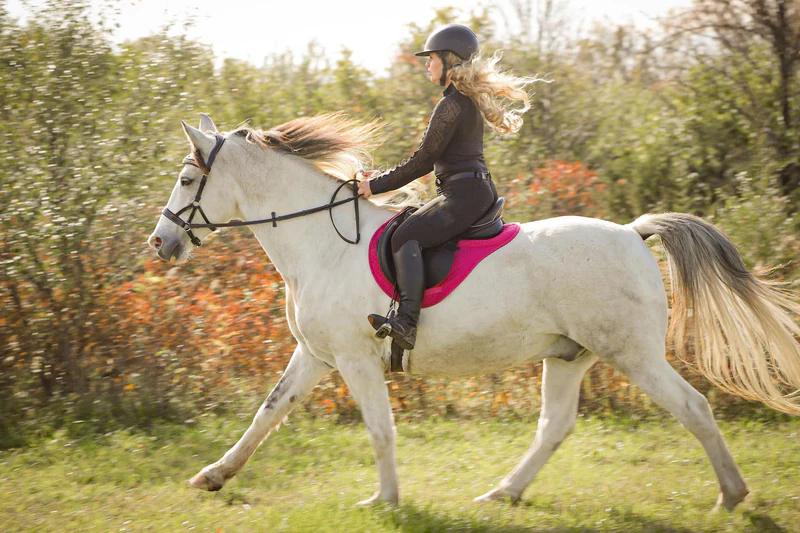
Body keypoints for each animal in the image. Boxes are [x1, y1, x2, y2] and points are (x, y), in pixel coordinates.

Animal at [148, 113, 800, 511]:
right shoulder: (316, 355)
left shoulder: (356, 359)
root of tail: (633, 233)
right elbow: (268, 413)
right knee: (554, 426)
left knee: (692, 407)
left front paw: (384, 501)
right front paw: (212, 476)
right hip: (570, 356)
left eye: (186, 179)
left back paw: (731, 495)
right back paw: (502, 494)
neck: (321, 243)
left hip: (632, 353)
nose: (160, 243)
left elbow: (380, 429)